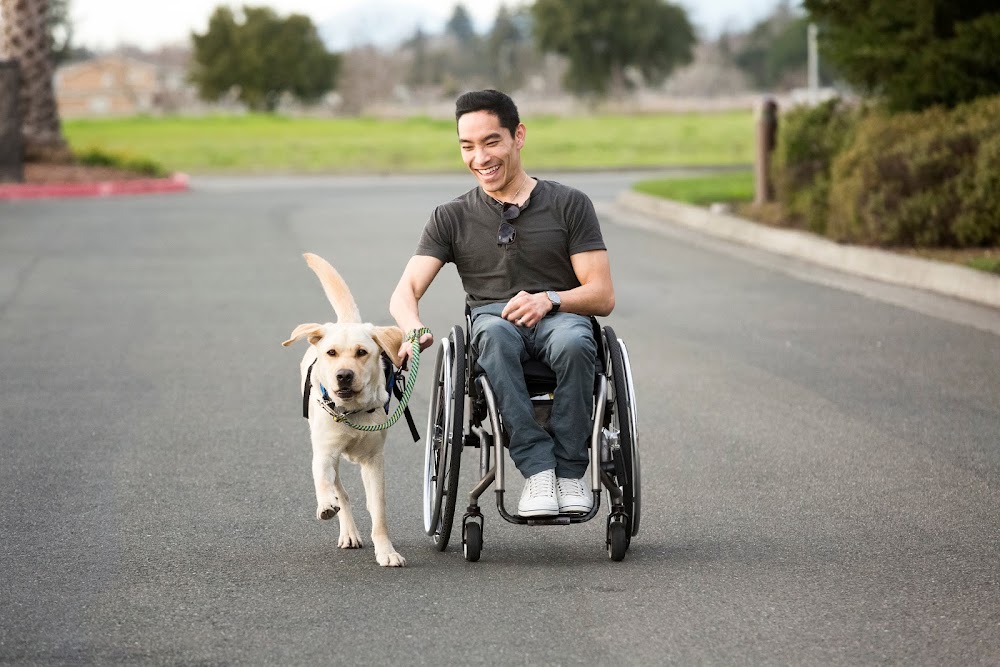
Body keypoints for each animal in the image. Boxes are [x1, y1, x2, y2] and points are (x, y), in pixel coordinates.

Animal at [282, 253, 406, 568]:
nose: (344, 375)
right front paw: (326, 504)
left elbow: (379, 513)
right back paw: (346, 529)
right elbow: (325, 483)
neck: (352, 412)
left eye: (362, 352)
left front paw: (386, 550)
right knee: (343, 493)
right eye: (332, 353)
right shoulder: (325, 453)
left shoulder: (374, 461)